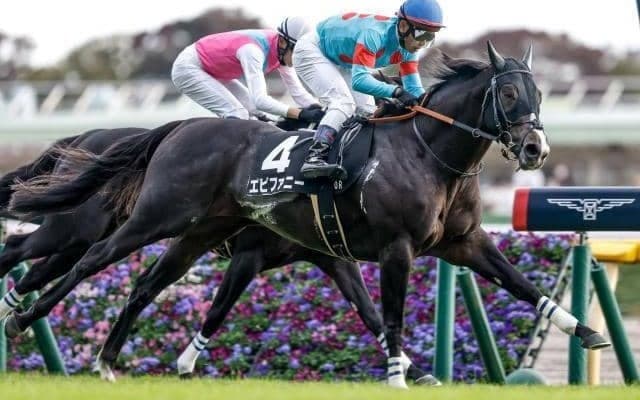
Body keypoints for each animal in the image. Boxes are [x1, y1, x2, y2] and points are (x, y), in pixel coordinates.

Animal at [0, 125, 433, 383]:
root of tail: (86, 136)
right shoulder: (249, 256)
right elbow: (220, 308)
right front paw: (186, 364)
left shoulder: (333, 258)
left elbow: (370, 313)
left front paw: (414, 371)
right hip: (84, 228)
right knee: (32, 251)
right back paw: (17, 318)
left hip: (84, 237)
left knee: (38, 268)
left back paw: (16, 314)